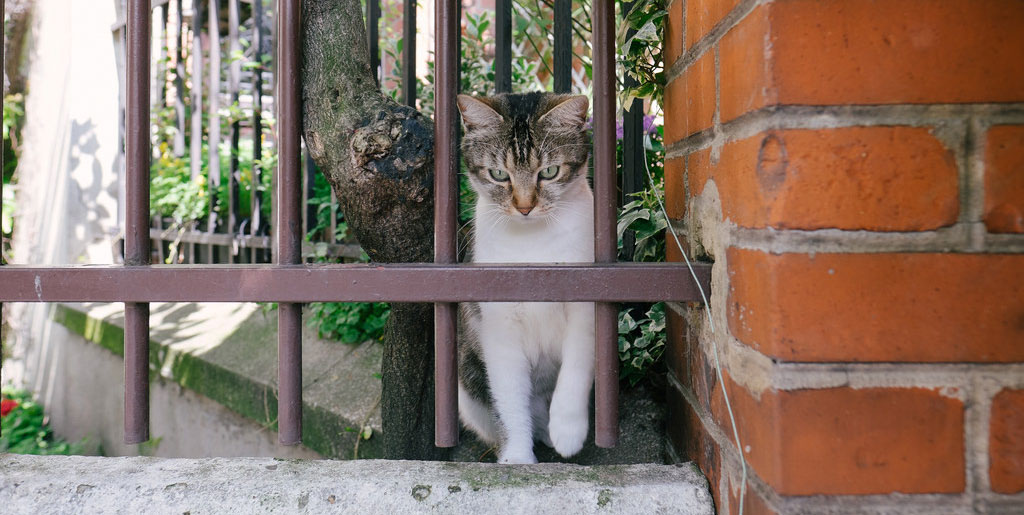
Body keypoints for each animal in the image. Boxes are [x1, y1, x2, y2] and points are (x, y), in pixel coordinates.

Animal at [454, 90, 593, 464]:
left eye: (549, 171)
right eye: (499, 174)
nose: (525, 206)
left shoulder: (588, 304)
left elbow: (576, 368)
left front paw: (568, 431)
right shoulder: (499, 325)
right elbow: (510, 396)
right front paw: (517, 458)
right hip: (467, 381)